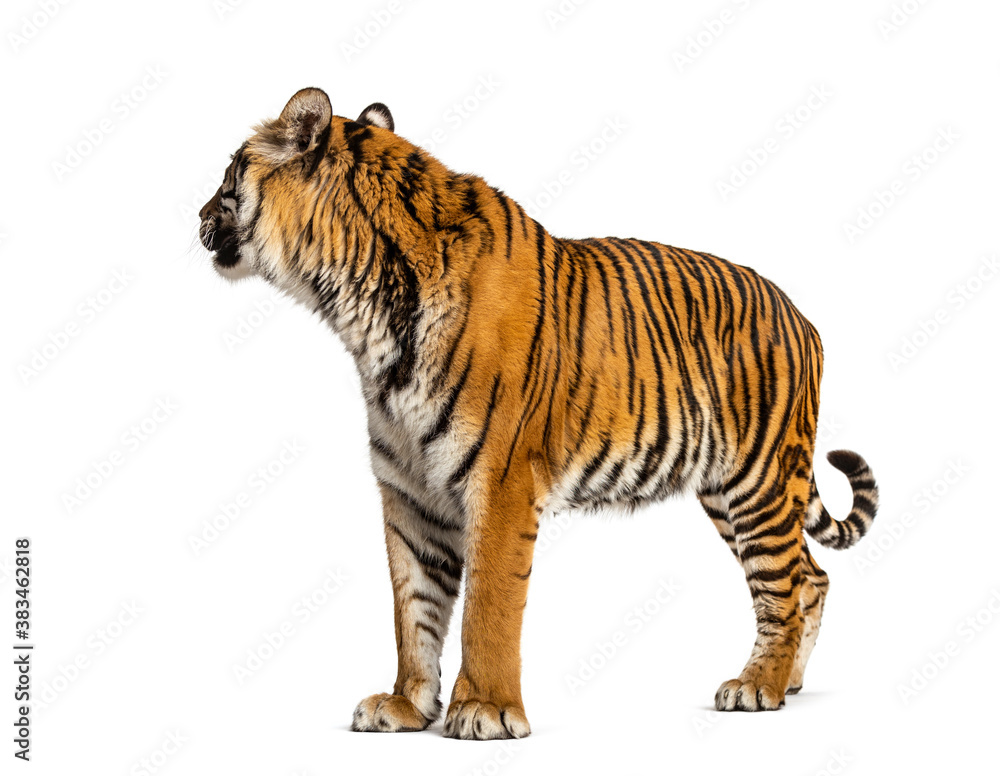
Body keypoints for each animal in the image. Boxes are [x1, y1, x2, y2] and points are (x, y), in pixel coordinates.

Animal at [198, 88, 879, 740]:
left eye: (231, 170)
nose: (199, 217)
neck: (359, 312)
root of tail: (802, 315)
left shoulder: (500, 483)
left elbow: (487, 608)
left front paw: (485, 711)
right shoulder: (410, 494)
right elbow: (412, 610)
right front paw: (406, 706)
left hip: (758, 479)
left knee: (783, 585)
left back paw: (757, 687)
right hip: (727, 489)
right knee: (811, 577)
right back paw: (788, 682)